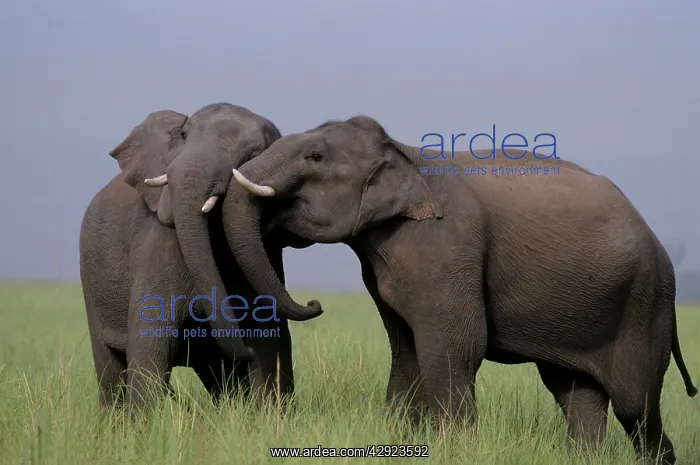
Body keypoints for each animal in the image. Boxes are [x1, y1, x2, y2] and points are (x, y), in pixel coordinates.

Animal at [79, 103, 323, 411]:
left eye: (254, 155)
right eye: (183, 134)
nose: (314, 303)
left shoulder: (264, 256)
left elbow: (271, 337)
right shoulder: (160, 245)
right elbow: (151, 341)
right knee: (109, 368)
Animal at [221, 115, 697, 464]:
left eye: (315, 156)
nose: (315, 303)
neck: (402, 152)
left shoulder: (447, 248)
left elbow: (455, 348)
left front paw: (458, 450)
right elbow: (406, 350)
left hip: (645, 300)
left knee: (636, 405)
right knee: (575, 394)